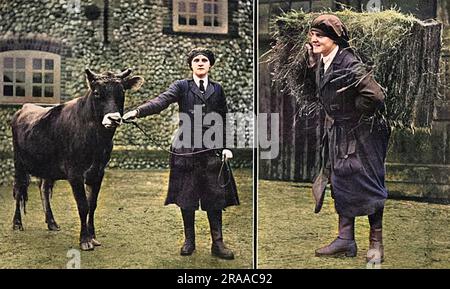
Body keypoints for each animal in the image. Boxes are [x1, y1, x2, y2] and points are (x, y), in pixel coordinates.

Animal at [11, 68, 144, 250]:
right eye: (97, 92)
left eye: (122, 91)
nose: (114, 119)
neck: (97, 140)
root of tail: (25, 107)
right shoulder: (75, 173)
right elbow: (83, 205)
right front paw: (85, 240)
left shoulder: (98, 172)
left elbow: (92, 205)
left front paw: (93, 236)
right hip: (19, 162)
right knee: (19, 189)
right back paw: (17, 223)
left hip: (47, 166)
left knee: (43, 188)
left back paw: (51, 222)